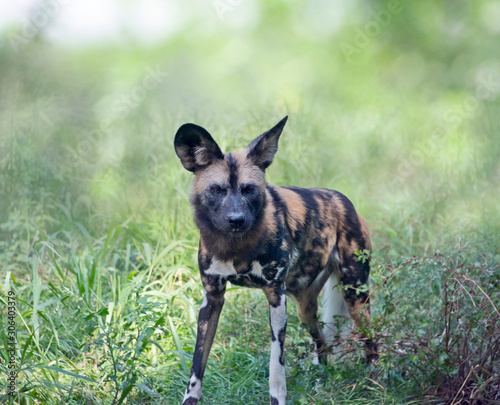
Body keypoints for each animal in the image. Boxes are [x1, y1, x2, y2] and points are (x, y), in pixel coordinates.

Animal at [175, 115, 376, 402]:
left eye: (249, 190)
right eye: (216, 190)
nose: (236, 220)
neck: (235, 247)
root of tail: (346, 203)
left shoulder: (276, 297)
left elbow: (276, 368)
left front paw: (278, 400)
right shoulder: (212, 299)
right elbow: (197, 364)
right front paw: (190, 399)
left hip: (355, 297)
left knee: (372, 341)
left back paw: (373, 381)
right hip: (306, 309)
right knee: (322, 343)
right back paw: (321, 380)